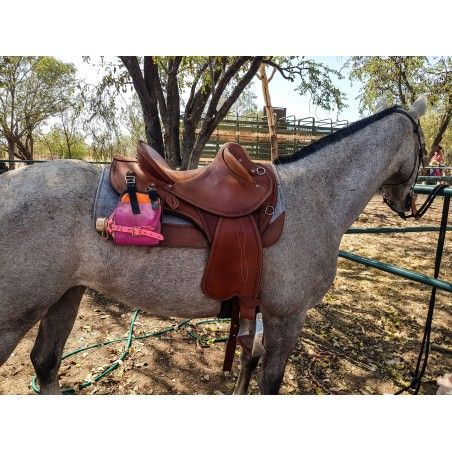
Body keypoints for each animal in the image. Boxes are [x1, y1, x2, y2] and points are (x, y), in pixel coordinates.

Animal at [0, 97, 428, 394]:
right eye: (424, 145)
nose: (406, 202)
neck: (316, 197)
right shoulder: (288, 317)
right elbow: (269, 381)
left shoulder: (258, 310)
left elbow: (248, 360)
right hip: (16, 316)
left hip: (65, 295)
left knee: (46, 362)